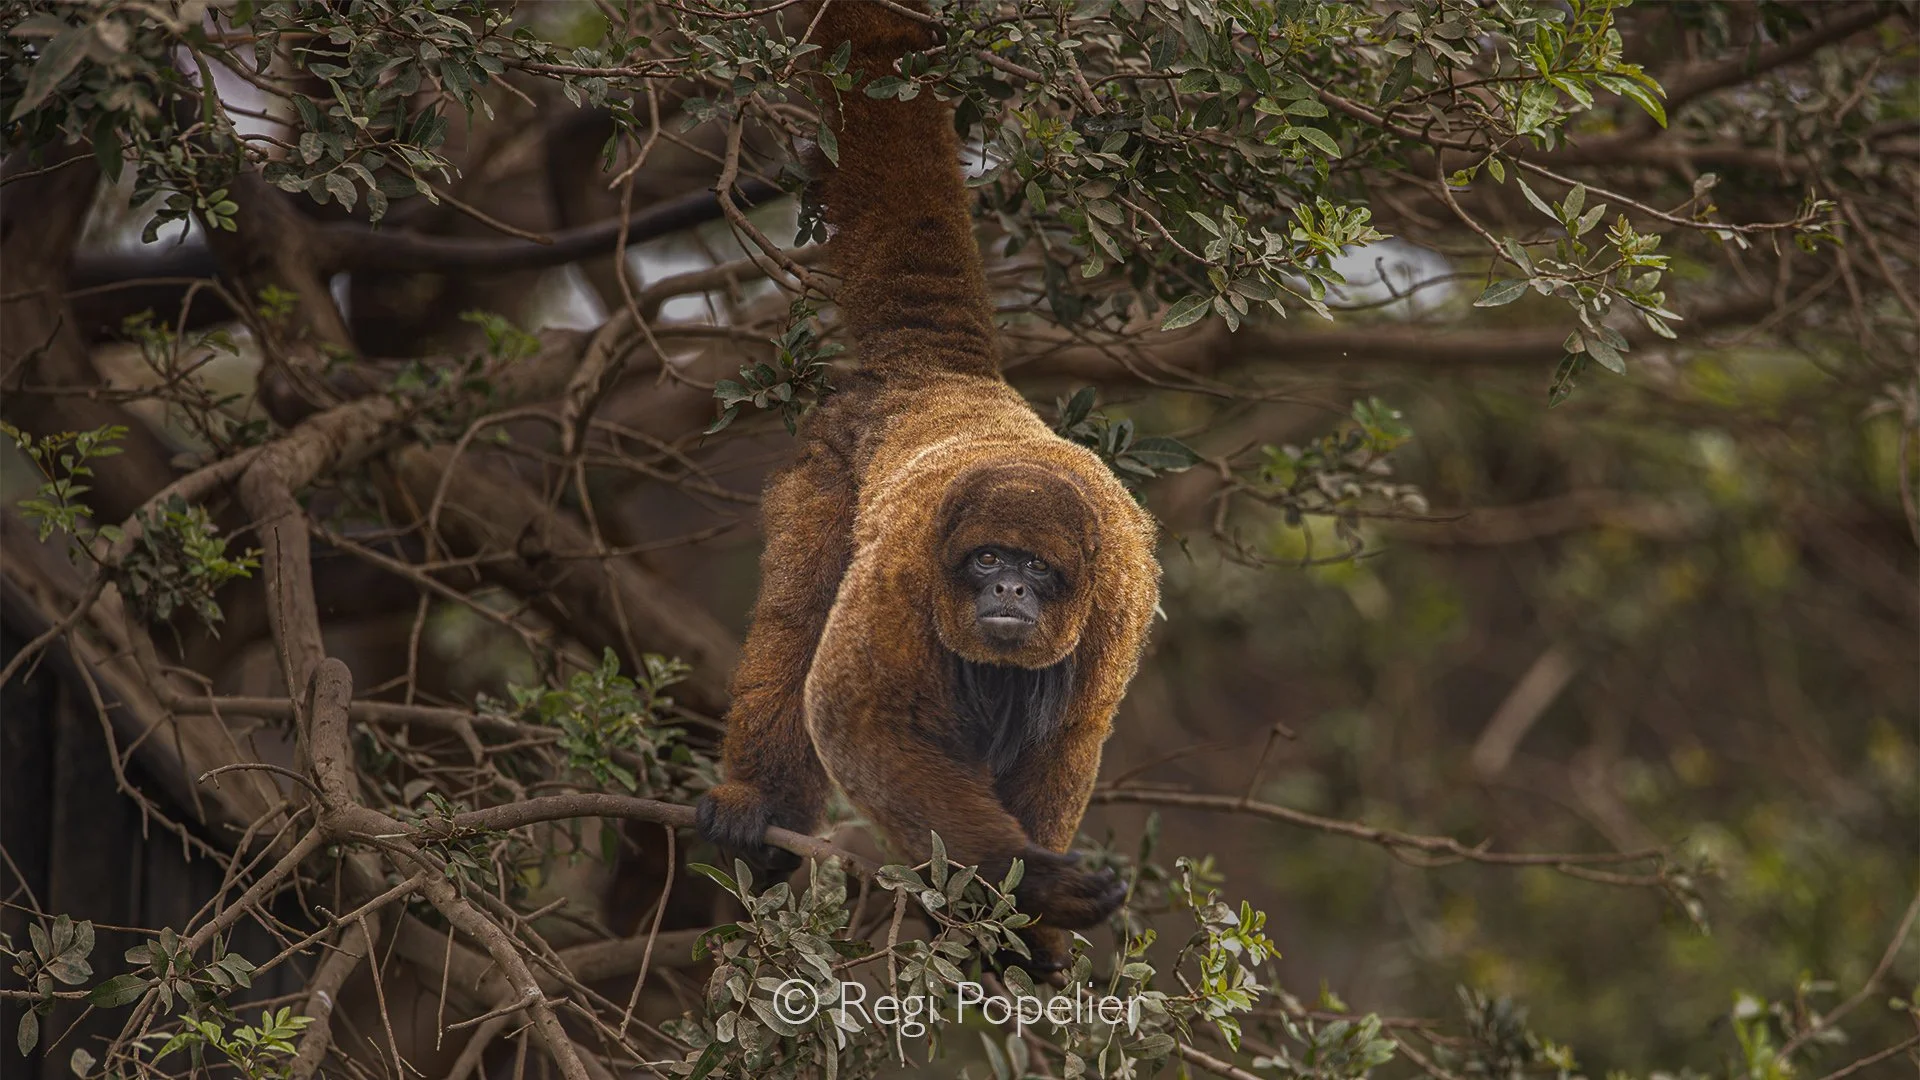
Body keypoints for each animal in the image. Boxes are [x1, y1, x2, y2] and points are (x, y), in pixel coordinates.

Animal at [695, 0, 1160, 972]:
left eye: (1038, 570)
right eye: (986, 560)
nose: (1010, 590)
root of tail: (942, 381)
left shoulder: (1115, 608)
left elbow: (1070, 739)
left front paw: (1029, 924)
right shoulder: (905, 576)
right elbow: (857, 718)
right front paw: (1037, 883)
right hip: (826, 468)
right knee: (796, 616)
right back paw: (759, 807)